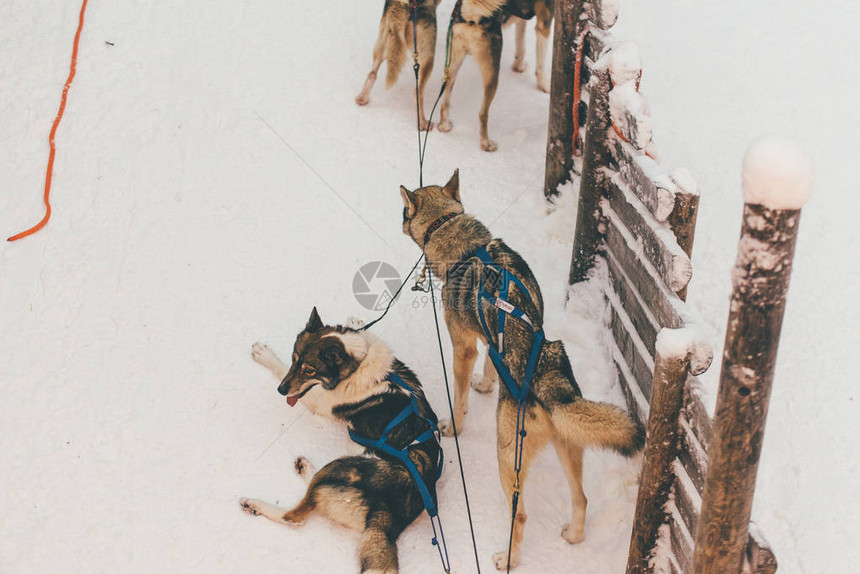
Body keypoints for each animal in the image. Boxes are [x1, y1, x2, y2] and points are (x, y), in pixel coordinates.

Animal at [354, 0, 440, 130]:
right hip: (427, 56)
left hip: (382, 45)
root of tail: (402, 5)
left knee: (371, 74)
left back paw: (362, 98)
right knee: (417, 92)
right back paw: (423, 123)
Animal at [400, 171, 640, 572]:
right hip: (568, 449)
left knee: (521, 515)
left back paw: (508, 558)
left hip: (506, 459)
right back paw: (573, 535)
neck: (466, 246)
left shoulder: (462, 347)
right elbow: (489, 363)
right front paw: (486, 383)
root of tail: (546, 383)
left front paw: (455, 424)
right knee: (582, 498)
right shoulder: (489, 337)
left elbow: (459, 398)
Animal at [440, 0, 556, 153]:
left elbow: (520, 46)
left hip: (451, 69)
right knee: (482, 113)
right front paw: (544, 85)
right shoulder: (544, 24)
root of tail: (470, 15)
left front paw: (518, 66)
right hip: (492, 74)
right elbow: (540, 66)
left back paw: (444, 126)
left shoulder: (521, 21)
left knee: (444, 103)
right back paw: (486, 144)